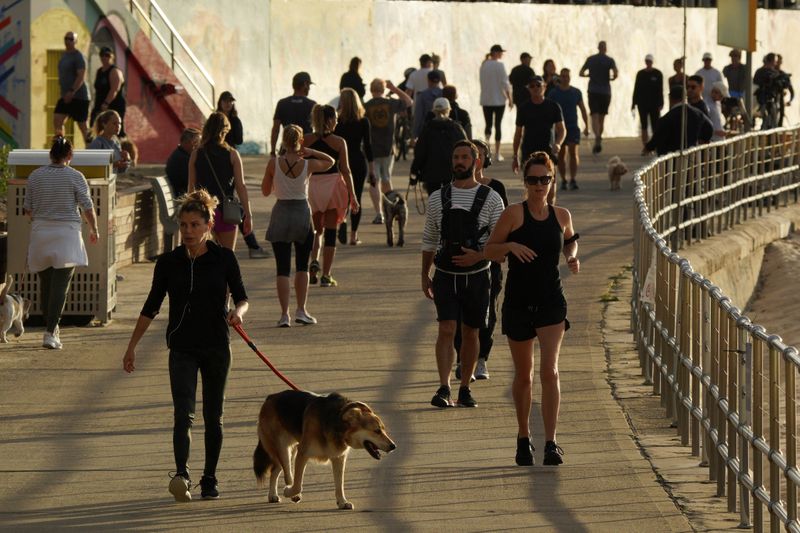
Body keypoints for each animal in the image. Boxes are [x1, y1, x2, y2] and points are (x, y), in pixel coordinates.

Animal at [255, 388, 396, 510]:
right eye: (377, 431)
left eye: (383, 430)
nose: (394, 446)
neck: (337, 422)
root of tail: (270, 397)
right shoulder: (303, 454)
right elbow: (298, 484)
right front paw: (291, 492)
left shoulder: (338, 458)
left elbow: (339, 484)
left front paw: (342, 502)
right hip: (283, 449)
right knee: (287, 474)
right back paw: (290, 494)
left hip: (288, 452)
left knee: (276, 470)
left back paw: (272, 495)